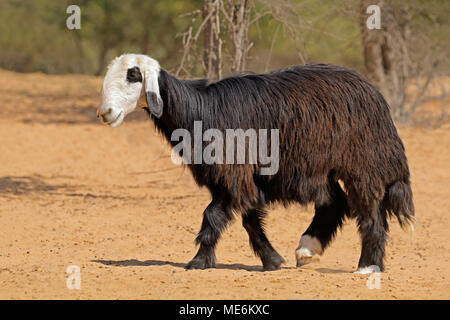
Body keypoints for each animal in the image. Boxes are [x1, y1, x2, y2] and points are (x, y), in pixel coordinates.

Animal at [98, 53, 414, 272]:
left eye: (133, 75)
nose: (105, 113)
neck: (201, 110)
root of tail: (373, 93)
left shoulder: (233, 173)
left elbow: (213, 216)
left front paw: (198, 262)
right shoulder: (237, 177)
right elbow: (248, 218)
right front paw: (272, 260)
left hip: (362, 165)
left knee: (369, 212)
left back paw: (367, 267)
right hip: (321, 169)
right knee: (334, 204)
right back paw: (307, 250)